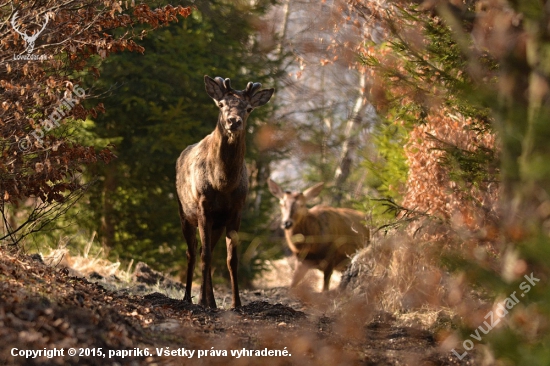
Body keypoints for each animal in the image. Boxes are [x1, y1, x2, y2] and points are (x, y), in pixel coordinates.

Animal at [177, 76, 274, 308]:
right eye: (221, 104)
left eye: (248, 108)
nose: (233, 121)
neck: (223, 184)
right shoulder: (203, 208)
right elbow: (205, 256)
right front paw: (203, 302)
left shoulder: (236, 211)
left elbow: (232, 259)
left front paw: (236, 303)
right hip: (184, 213)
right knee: (192, 252)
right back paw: (189, 297)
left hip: (217, 224)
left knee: (205, 250)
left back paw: (209, 300)